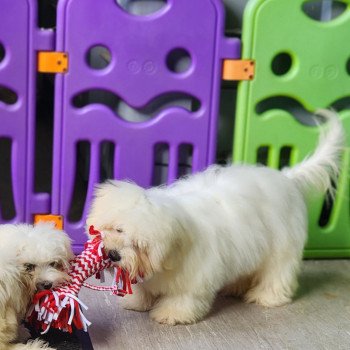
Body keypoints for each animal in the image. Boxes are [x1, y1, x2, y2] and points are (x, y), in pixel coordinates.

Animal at [86, 110, 344, 326]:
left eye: (140, 246)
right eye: (118, 230)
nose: (114, 255)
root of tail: (286, 178)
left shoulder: (195, 275)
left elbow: (184, 297)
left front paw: (171, 314)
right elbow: (143, 290)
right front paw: (136, 302)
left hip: (281, 247)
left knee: (277, 273)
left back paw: (266, 297)